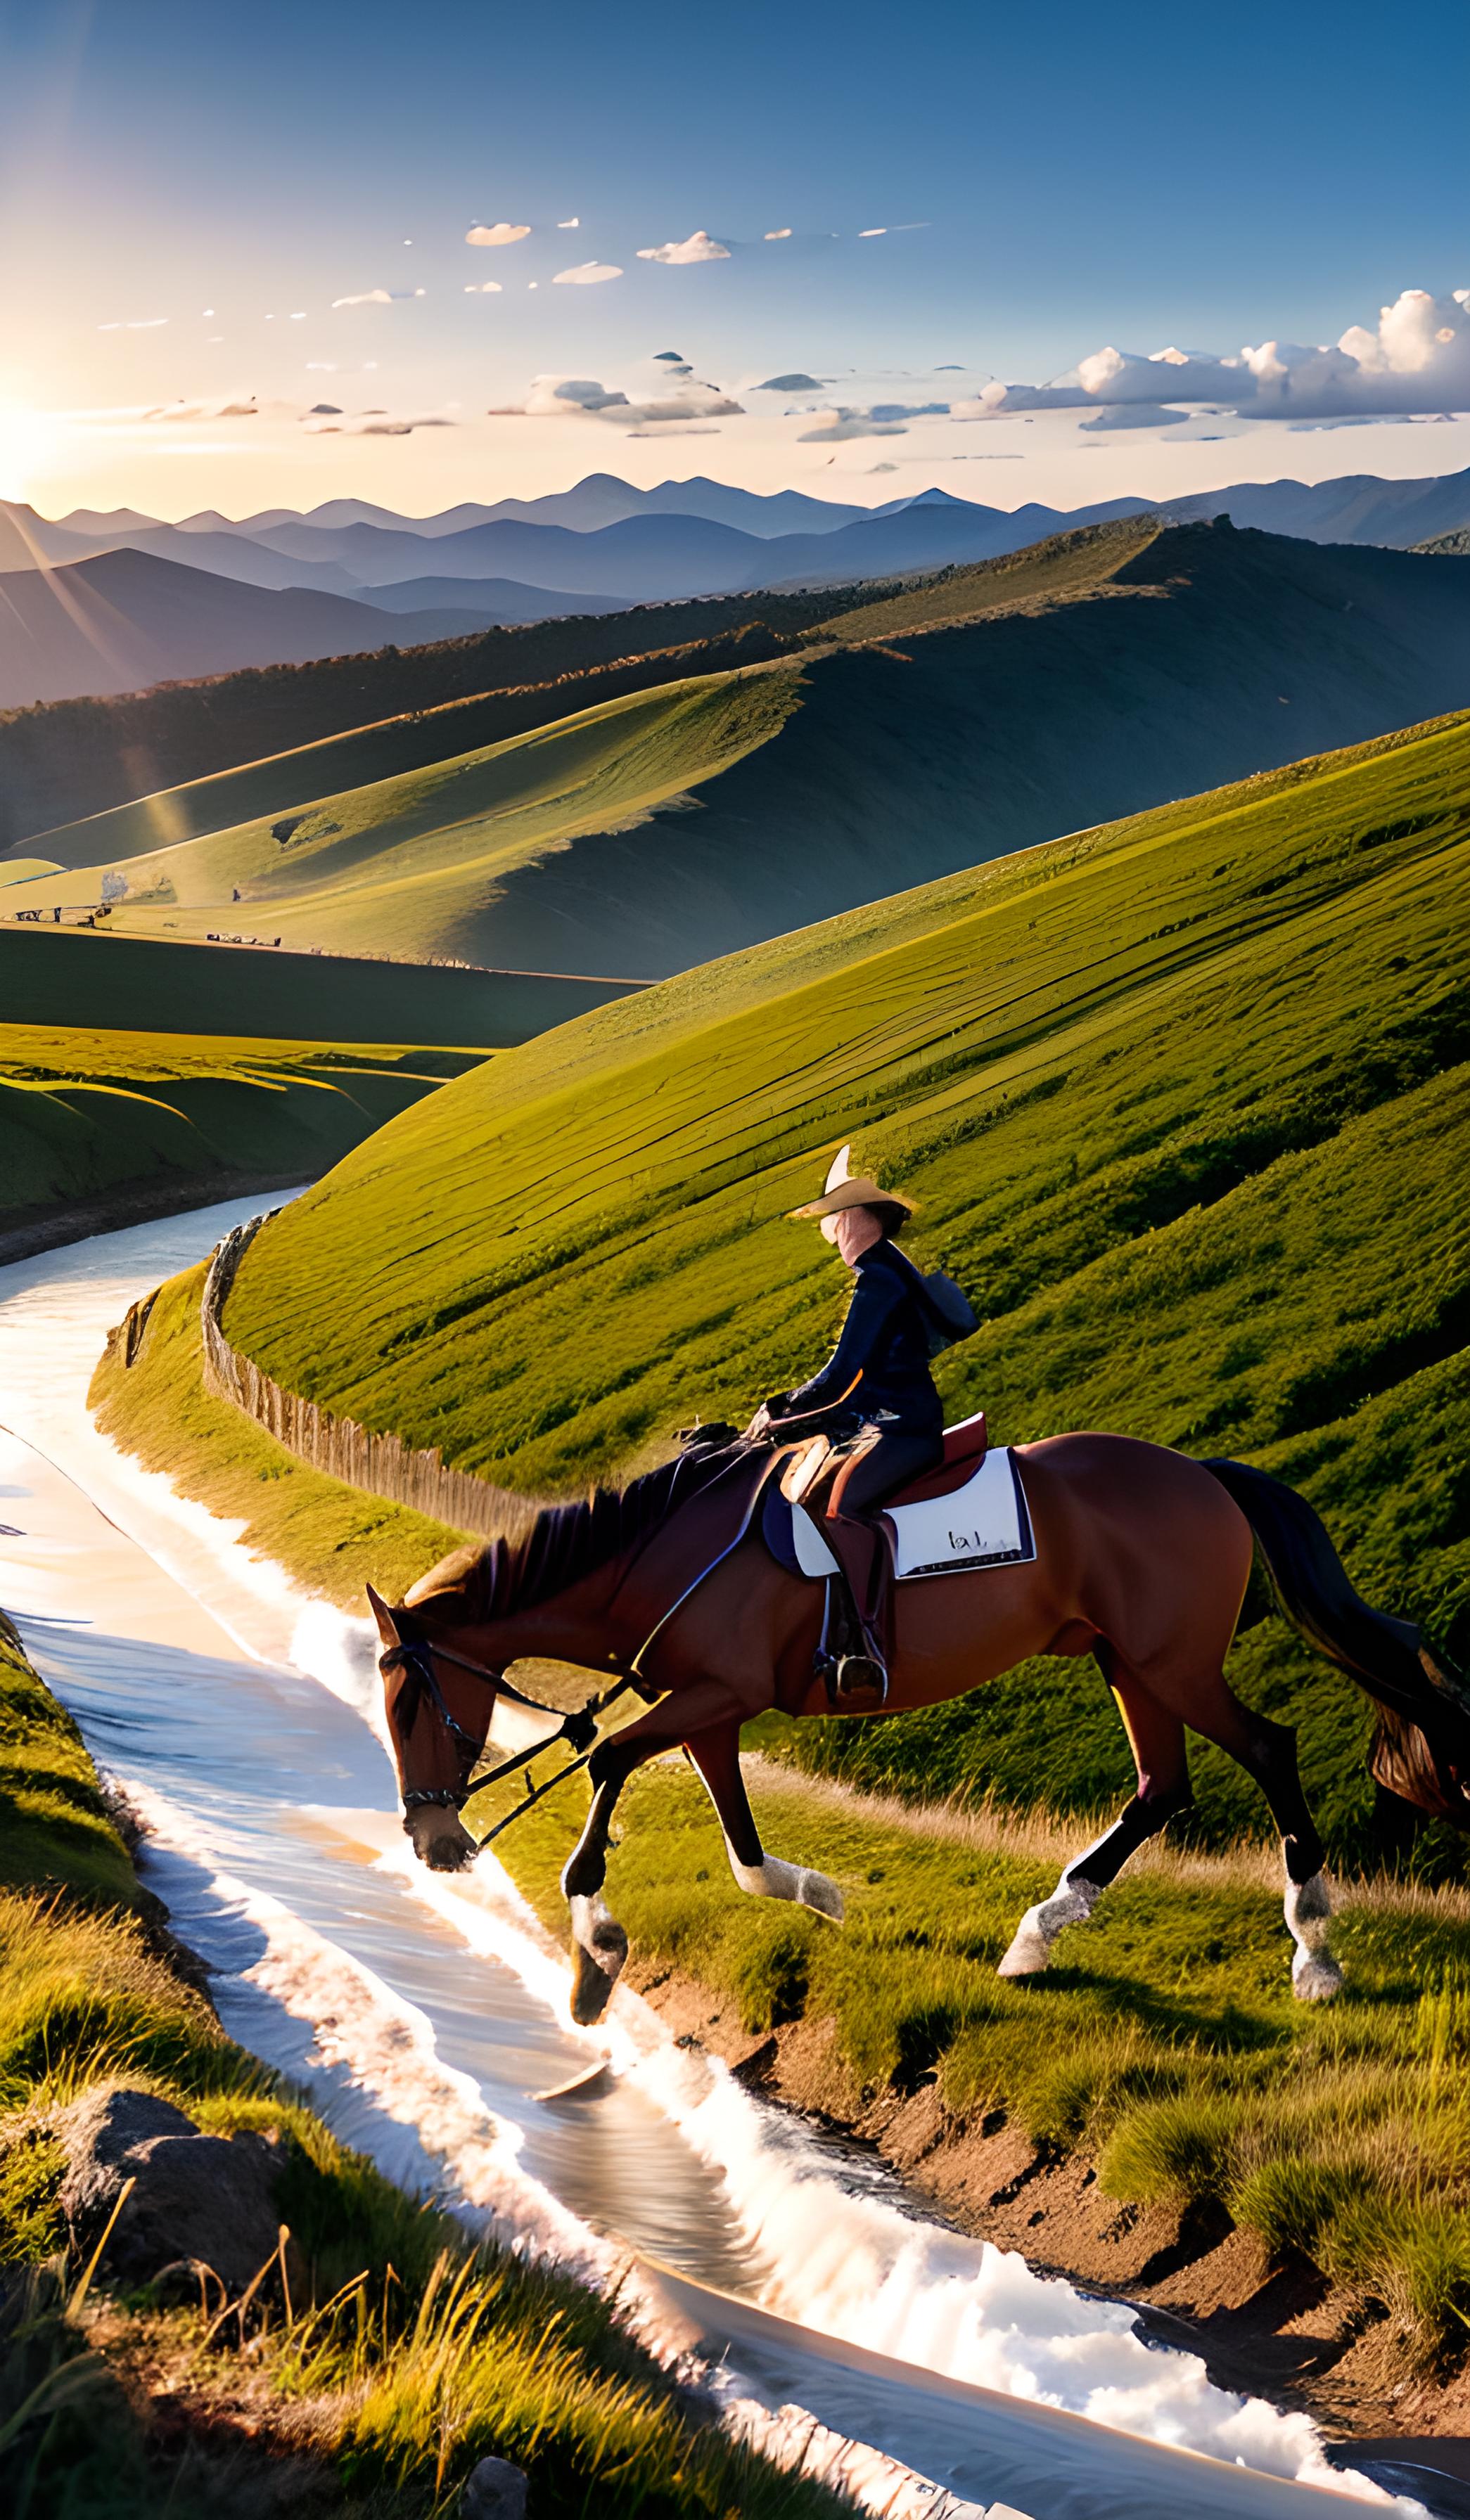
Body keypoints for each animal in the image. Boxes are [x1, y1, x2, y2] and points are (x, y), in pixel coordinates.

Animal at [370, 1441, 1470, 2026]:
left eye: (410, 1705)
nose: (431, 1840)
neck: (658, 1556)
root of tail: (1197, 1472)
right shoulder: (710, 1705)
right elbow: (741, 1850)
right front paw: (817, 1895)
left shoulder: (713, 1691)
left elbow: (605, 1762)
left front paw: (595, 1955)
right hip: (1127, 1659)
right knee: (1162, 1787)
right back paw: (1039, 1933)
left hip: (1173, 1662)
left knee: (1268, 1749)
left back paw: (1312, 1950)